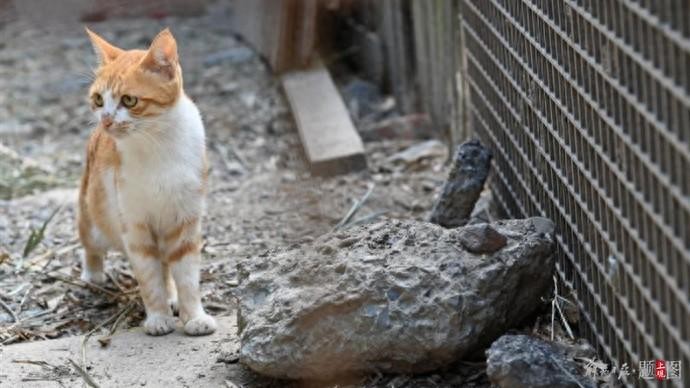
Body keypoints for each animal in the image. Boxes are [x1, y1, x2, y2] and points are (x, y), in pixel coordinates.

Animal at [77, 28, 215, 336]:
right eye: (99, 100)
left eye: (129, 101)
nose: (105, 120)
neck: (157, 146)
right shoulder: (136, 226)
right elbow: (149, 279)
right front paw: (158, 317)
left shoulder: (185, 222)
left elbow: (187, 277)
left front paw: (193, 316)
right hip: (93, 219)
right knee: (91, 246)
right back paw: (93, 274)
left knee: (166, 267)